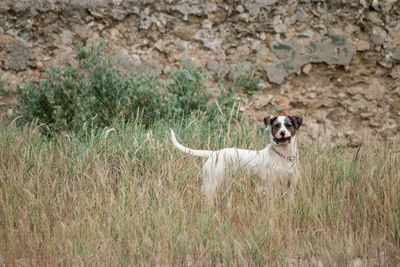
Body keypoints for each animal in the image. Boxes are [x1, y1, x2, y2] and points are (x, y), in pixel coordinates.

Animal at [170, 116, 304, 202]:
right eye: (276, 126)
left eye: (288, 125)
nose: (282, 132)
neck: (284, 156)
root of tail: (214, 153)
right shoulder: (270, 186)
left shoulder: (290, 187)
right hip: (212, 184)